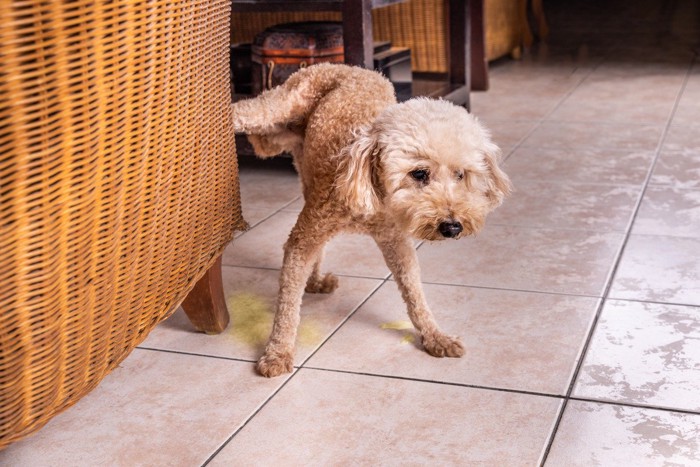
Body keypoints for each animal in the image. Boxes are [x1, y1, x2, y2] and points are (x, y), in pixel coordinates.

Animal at [232, 63, 512, 376]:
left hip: (304, 170)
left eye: (460, 174)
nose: (452, 226)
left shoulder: (396, 243)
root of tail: (345, 65)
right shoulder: (304, 238)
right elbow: (288, 304)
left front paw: (434, 336)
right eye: (419, 174)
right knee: (247, 109)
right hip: (283, 104)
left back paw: (315, 281)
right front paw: (278, 352)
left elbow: (415, 294)